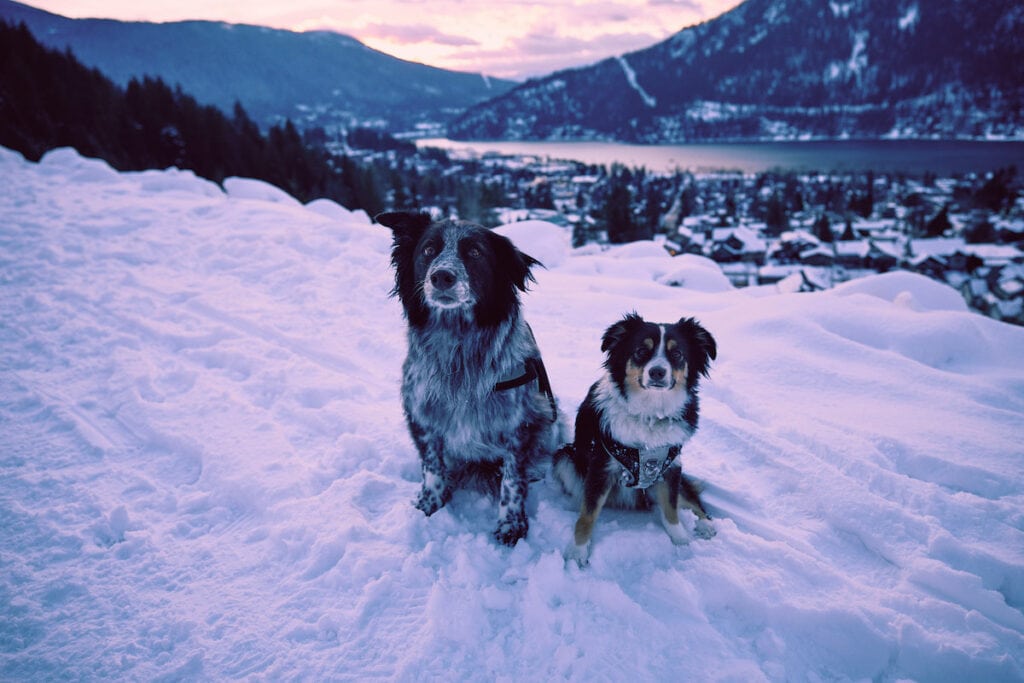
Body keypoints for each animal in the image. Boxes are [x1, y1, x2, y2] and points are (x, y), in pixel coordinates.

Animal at [380, 210, 565, 548]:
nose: (442, 276)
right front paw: (430, 504)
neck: (458, 345)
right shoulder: (422, 413)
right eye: (428, 250)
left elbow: (512, 480)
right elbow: (432, 466)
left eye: (475, 252)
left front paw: (511, 525)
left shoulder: (520, 422)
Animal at [557, 313, 716, 565]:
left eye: (677, 354)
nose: (657, 372)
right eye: (641, 351)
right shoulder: (601, 465)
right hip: (564, 457)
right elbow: (588, 514)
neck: (650, 414)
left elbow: (671, 509)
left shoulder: (671, 466)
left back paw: (706, 524)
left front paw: (682, 541)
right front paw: (577, 552)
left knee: (689, 498)